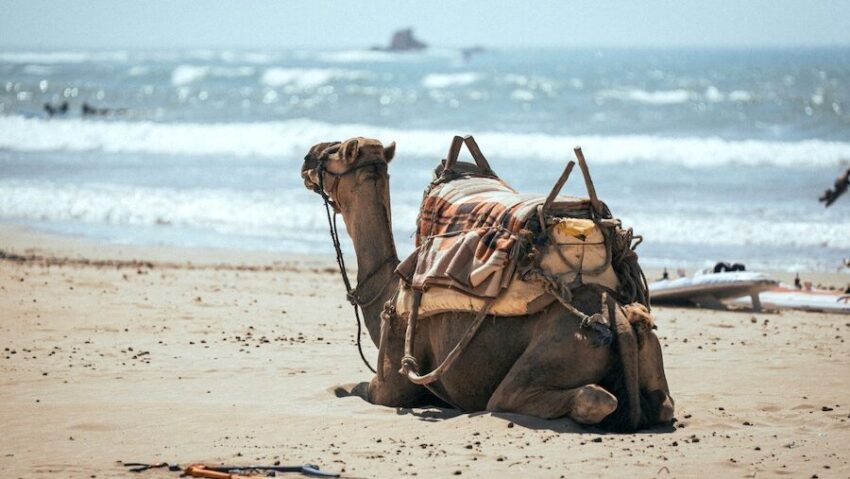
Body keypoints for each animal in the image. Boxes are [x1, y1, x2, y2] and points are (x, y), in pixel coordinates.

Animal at [301, 137, 674, 431]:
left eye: (336, 150)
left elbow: (349, 388)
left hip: (550, 357)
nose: (308, 155)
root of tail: (619, 319)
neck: (389, 294)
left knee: (574, 397)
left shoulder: (389, 386)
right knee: (662, 404)